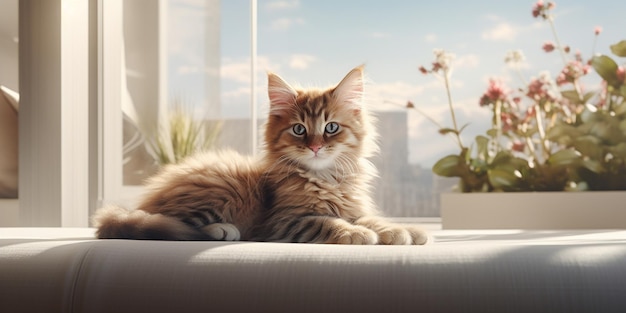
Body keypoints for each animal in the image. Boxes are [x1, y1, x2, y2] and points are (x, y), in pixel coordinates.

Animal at [94, 66, 428, 245]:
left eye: (331, 127)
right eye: (298, 129)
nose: (315, 146)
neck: (325, 178)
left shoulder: (354, 209)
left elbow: (375, 220)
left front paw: (404, 230)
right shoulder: (285, 221)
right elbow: (329, 222)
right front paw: (358, 234)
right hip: (222, 188)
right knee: (166, 222)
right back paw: (221, 229)